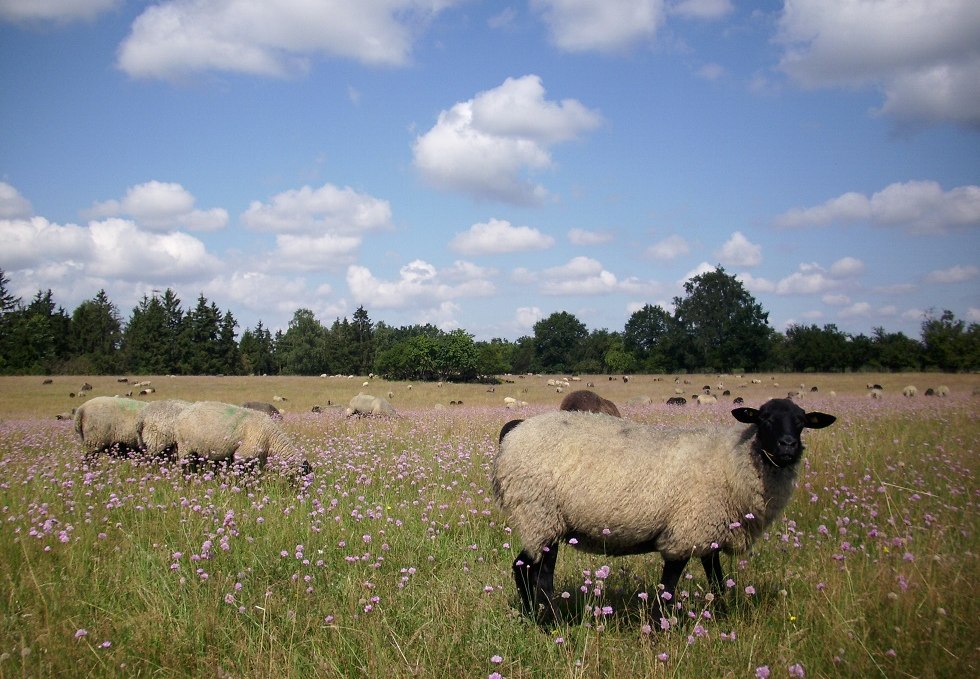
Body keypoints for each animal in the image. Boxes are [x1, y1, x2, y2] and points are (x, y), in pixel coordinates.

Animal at [490, 398, 836, 628]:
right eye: (763, 420)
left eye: (802, 422)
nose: (788, 446)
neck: (733, 460)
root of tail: (515, 429)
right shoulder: (685, 531)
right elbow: (668, 587)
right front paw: (660, 627)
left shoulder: (708, 530)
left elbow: (717, 580)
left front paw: (722, 617)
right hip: (541, 514)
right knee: (541, 576)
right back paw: (552, 623)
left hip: (538, 520)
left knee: (522, 567)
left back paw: (531, 616)